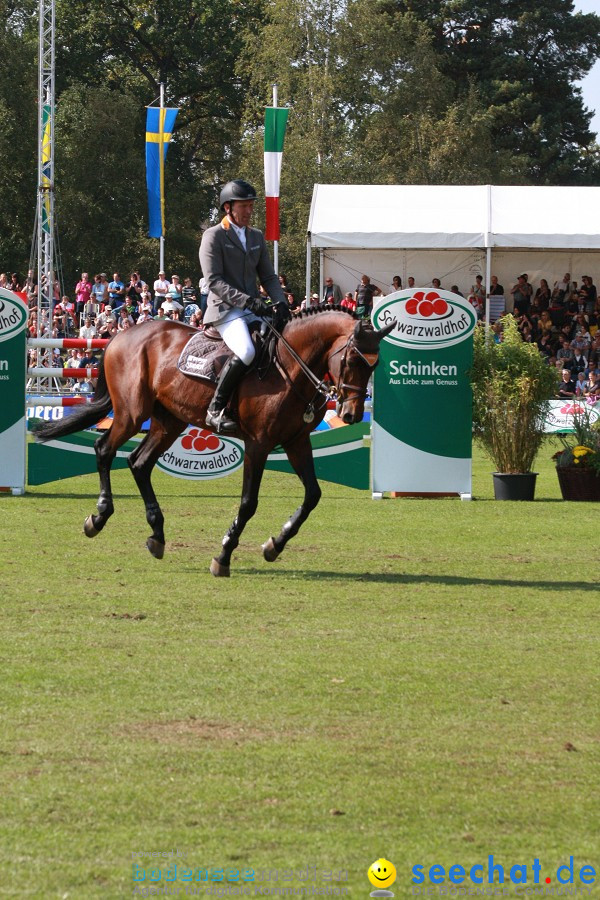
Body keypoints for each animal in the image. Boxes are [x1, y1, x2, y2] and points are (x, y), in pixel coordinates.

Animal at [36, 310, 394, 576]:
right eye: (351, 360)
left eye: (375, 365)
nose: (351, 414)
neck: (291, 366)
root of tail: (121, 336)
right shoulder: (258, 444)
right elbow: (248, 503)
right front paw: (223, 555)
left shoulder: (297, 442)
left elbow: (313, 496)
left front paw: (274, 545)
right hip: (131, 414)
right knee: (105, 450)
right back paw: (99, 516)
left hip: (169, 421)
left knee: (139, 462)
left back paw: (157, 535)